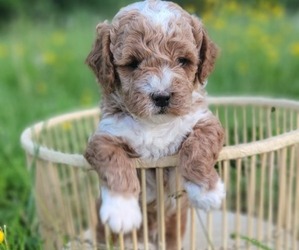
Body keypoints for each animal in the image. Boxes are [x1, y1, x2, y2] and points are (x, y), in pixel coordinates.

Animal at [84, 0, 225, 248]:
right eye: (132, 63)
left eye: (182, 61)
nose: (161, 96)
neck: (155, 123)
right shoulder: (103, 136)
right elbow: (115, 161)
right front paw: (122, 210)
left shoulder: (204, 120)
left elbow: (198, 147)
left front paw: (207, 192)